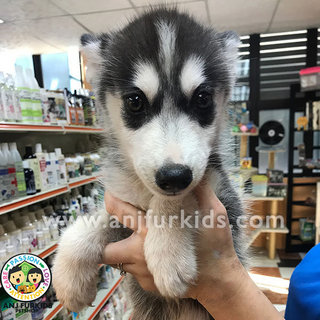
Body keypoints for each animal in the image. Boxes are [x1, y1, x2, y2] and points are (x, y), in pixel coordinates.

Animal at [52, 7, 248, 320]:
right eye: (135, 101)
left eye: (202, 98)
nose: (174, 175)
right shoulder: (123, 207)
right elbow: (93, 221)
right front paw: (69, 275)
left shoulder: (226, 199)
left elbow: (180, 197)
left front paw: (168, 250)